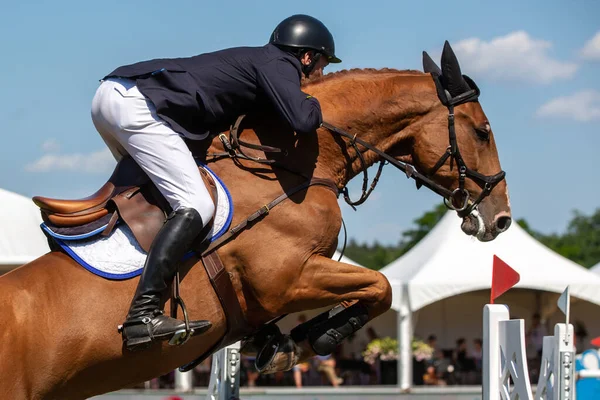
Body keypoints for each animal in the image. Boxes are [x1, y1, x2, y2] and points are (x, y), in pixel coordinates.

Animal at [0, 42, 510, 398]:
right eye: (483, 131)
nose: (500, 219)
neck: (289, 165)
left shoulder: (285, 287)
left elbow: (369, 291)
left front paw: (283, 344)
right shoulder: (285, 278)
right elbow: (380, 286)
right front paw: (314, 338)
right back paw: (151, 324)